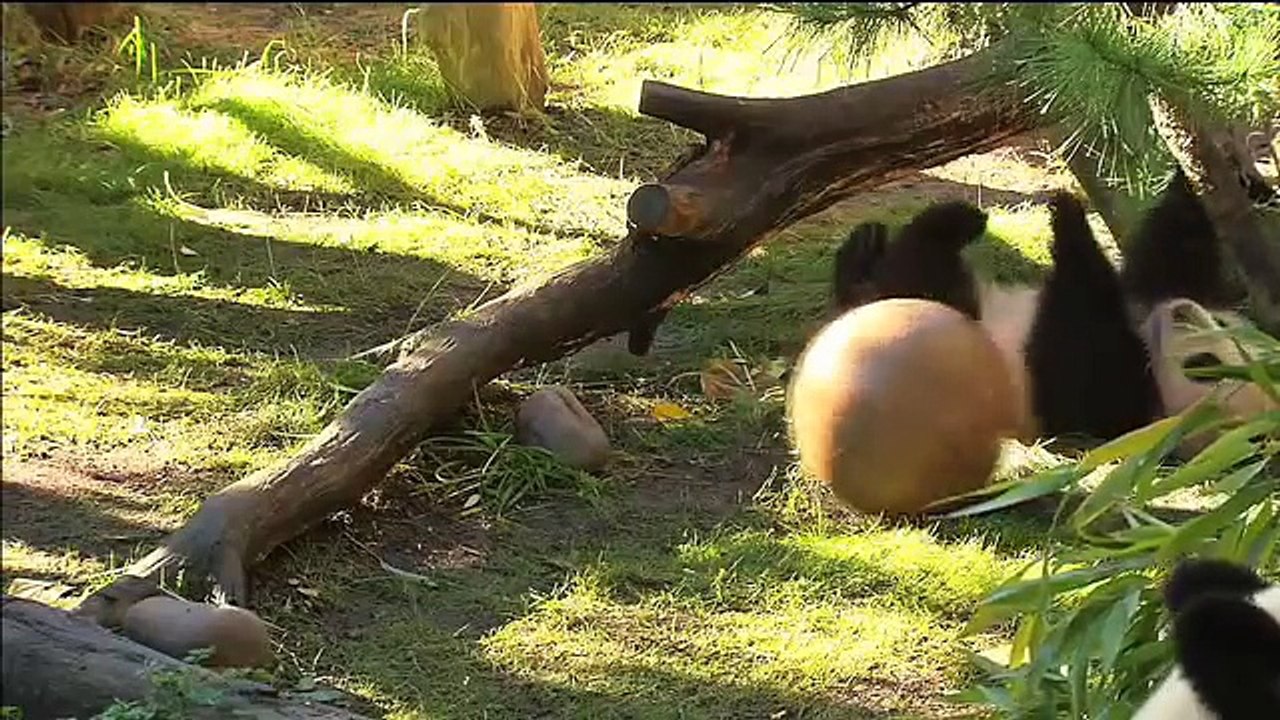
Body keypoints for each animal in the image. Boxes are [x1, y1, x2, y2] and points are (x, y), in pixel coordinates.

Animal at [830, 168, 1276, 452]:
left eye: (1204, 364)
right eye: (1221, 320)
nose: (1181, 311)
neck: (1143, 336)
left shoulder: (1111, 401)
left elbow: (1073, 336)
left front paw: (1068, 217)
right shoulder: (1155, 291)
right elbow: (1170, 249)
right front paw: (1237, 179)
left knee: (919, 275)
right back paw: (867, 248)